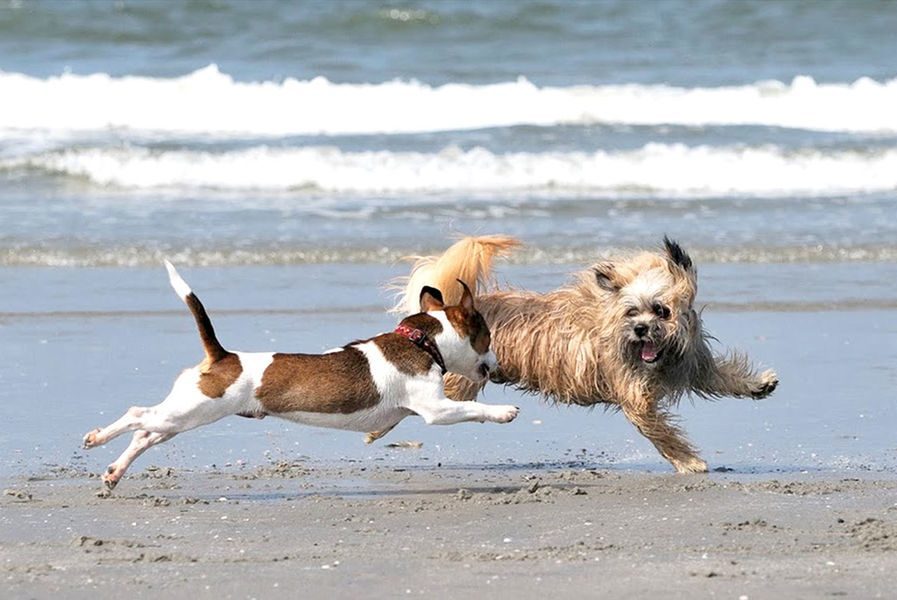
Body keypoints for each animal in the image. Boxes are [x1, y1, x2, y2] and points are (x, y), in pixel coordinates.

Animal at [86, 262, 520, 492]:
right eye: (486, 338)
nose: (499, 366)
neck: (421, 342)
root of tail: (223, 356)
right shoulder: (436, 409)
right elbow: (470, 409)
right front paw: (504, 412)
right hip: (191, 410)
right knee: (137, 415)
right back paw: (97, 438)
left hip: (183, 416)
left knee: (145, 434)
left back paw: (114, 472)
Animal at [384, 234, 776, 474]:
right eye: (632, 312)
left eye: (661, 311)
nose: (640, 329)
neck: (659, 357)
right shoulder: (636, 397)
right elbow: (662, 431)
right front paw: (689, 461)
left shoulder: (693, 365)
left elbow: (724, 376)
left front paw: (758, 384)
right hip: (455, 383)